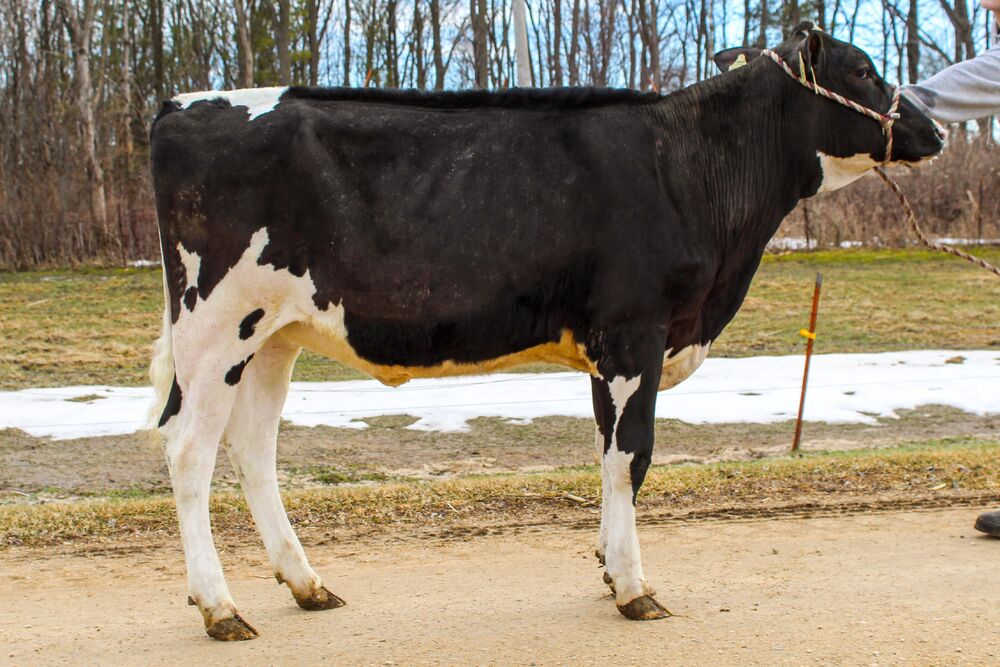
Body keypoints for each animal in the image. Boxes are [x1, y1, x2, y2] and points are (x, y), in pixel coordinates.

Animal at [148, 22, 943, 640]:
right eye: (863, 69)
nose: (935, 130)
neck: (688, 170)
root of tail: (179, 104)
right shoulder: (634, 331)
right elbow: (632, 456)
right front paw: (634, 589)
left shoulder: (605, 348)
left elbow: (607, 453)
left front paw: (608, 568)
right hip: (216, 322)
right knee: (190, 451)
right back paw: (220, 608)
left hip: (273, 334)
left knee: (253, 449)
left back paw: (307, 583)